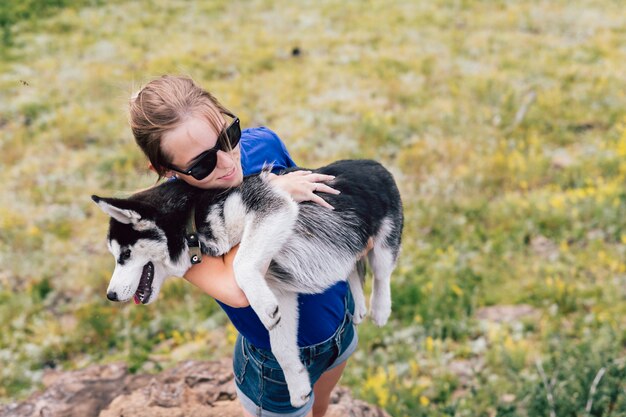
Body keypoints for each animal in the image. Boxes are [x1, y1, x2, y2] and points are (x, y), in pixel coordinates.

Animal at [93, 159, 404, 406]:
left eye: (124, 254)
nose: (110, 295)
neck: (194, 217)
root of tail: (372, 162)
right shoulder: (281, 290)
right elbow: (281, 346)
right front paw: (298, 387)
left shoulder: (270, 208)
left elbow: (242, 264)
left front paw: (263, 307)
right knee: (352, 268)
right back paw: (360, 305)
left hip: (384, 244)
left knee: (380, 273)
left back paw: (380, 308)